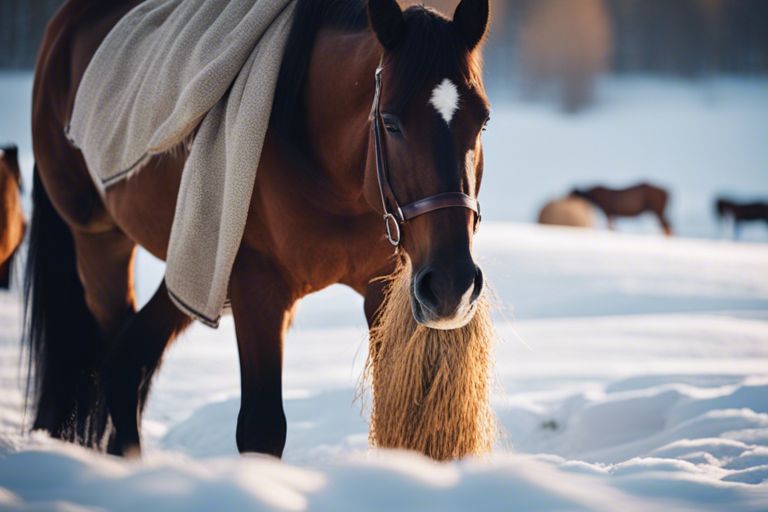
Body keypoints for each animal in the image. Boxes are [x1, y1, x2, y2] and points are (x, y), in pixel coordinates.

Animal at [28, 0, 492, 458]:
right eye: (391, 123)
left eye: (482, 122)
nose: (451, 285)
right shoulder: (258, 288)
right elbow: (262, 428)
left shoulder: (382, 289)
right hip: (103, 243)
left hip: (194, 263)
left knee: (128, 360)